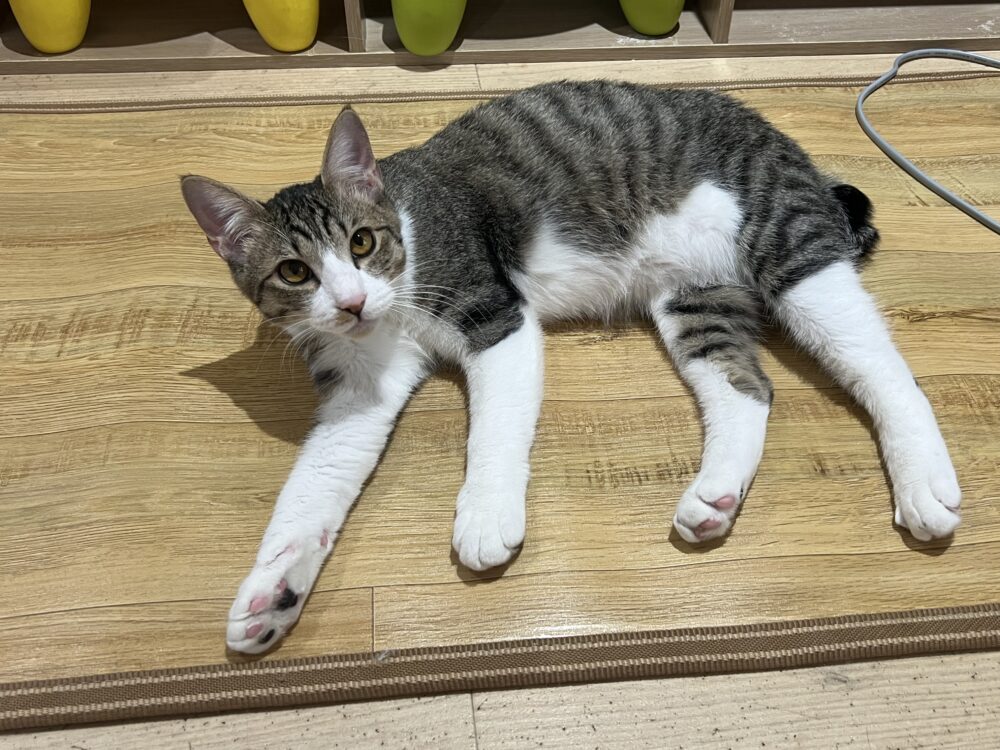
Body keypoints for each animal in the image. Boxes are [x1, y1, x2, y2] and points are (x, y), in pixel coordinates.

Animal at [181, 80, 961, 654]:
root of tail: (785, 143)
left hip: (786, 242)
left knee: (884, 367)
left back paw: (922, 479)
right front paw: (273, 592)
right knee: (747, 386)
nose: (349, 302)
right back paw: (715, 496)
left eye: (363, 242)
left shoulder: (495, 316)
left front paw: (485, 515)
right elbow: (313, 486)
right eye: (294, 272)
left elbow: (494, 432)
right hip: (694, 296)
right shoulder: (360, 387)